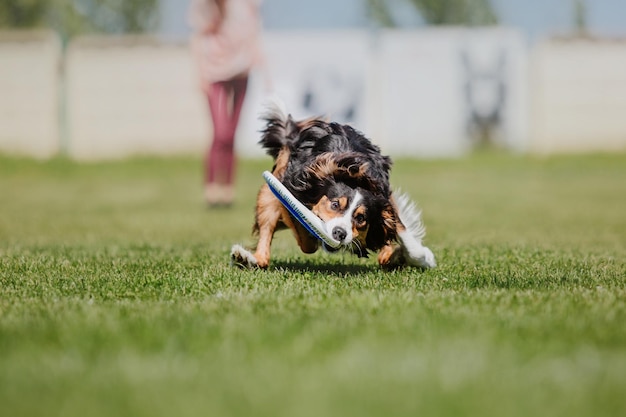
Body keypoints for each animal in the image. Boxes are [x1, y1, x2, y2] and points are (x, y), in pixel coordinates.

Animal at [229, 101, 434, 270]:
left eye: (361, 218)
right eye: (335, 204)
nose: (339, 233)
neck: (352, 174)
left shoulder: (384, 197)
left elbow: (400, 231)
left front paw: (407, 256)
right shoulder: (290, 192)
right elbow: (306, 240)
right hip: (269, 192)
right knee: (266, 241)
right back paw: (247, 258)